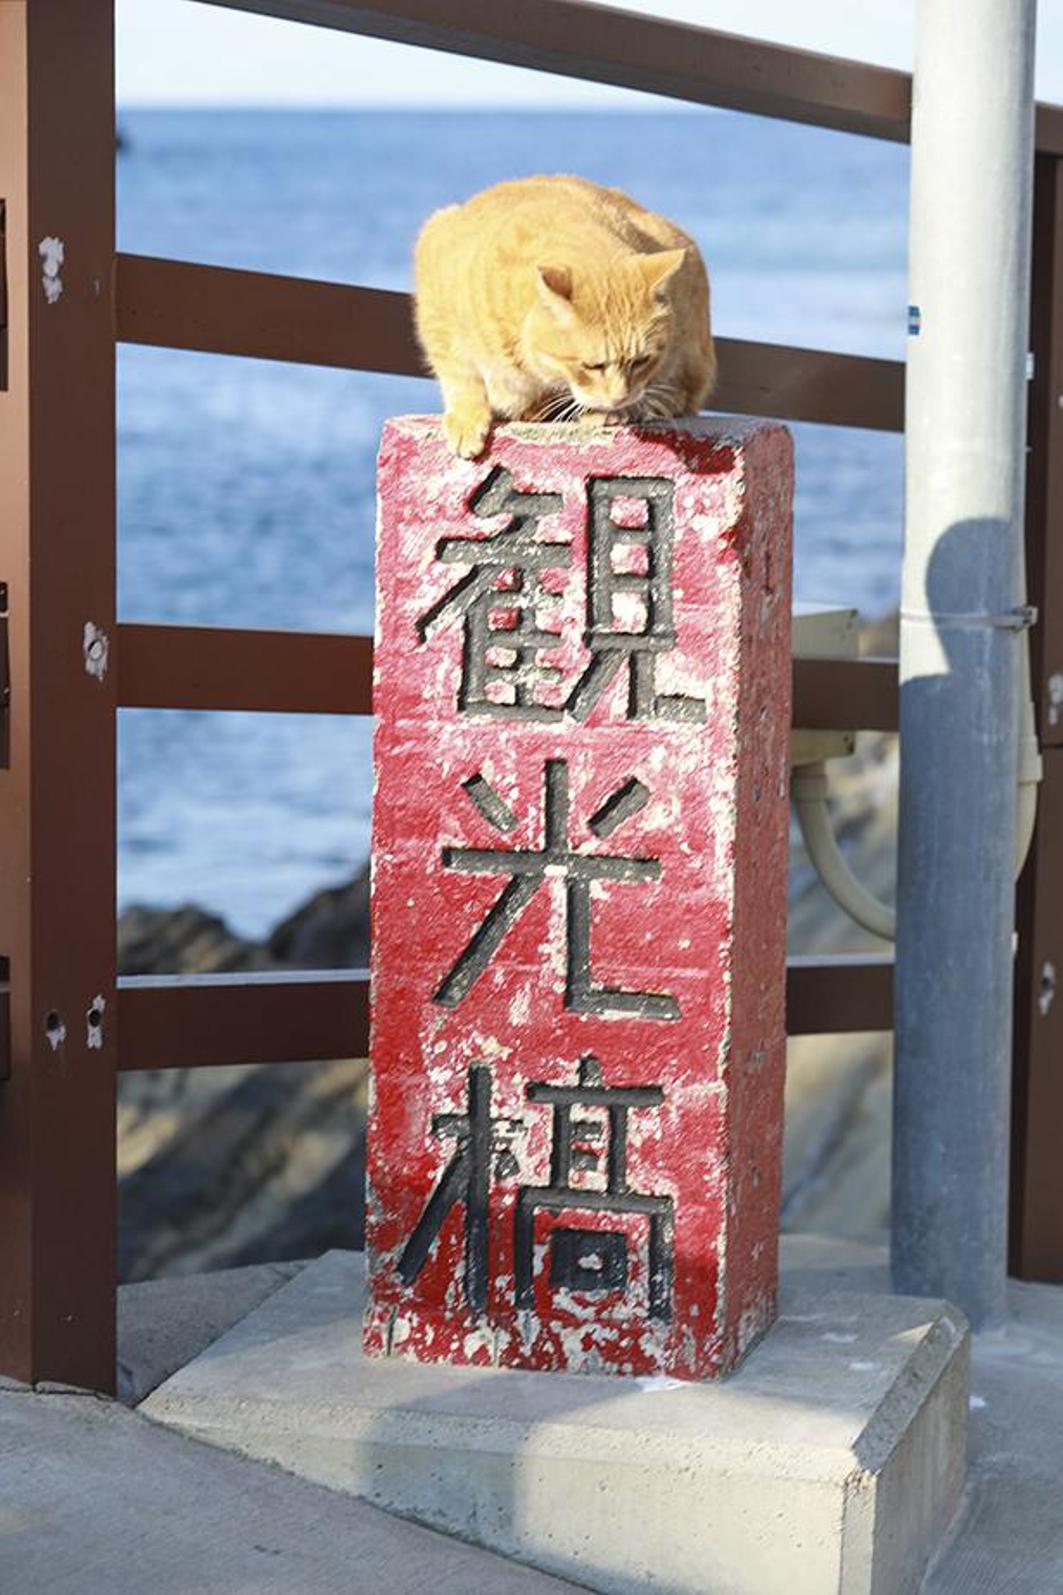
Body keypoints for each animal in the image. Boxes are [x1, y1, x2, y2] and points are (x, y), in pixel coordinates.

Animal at [408, 177, 715, 459]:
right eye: (592, 366)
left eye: (641, 361)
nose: (620, 397)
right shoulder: (437, 316)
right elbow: (460, 375)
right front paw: (467, 418)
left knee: (683, 394)